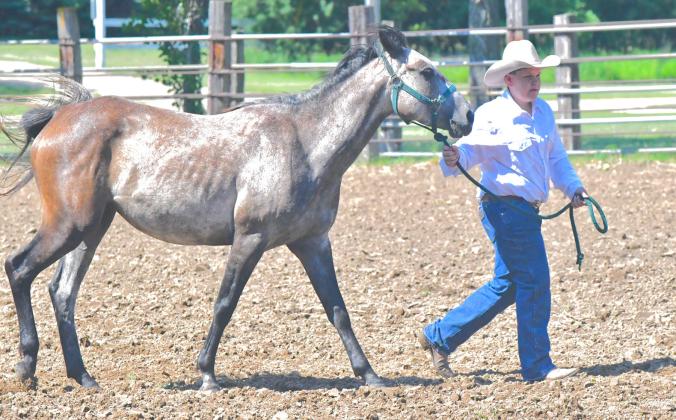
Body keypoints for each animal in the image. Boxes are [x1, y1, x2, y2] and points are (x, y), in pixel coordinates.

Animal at [1, 26, 473, 391]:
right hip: (68, 226)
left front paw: (369, 374)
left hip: (91, 230)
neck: (306, 143)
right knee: (19, 268)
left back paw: (83, 377)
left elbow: (338, 309)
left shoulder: (313, 242)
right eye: (427, 71)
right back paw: (27, 367)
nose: (467, 116)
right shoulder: (250, 239)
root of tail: (59, 118)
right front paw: (207, 375)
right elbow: (224, 304)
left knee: (63, 293)